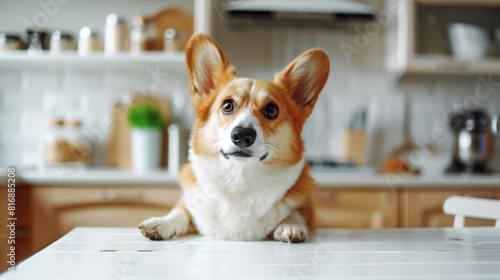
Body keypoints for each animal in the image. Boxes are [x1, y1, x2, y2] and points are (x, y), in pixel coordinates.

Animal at [139, 33, 330, 243]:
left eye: (272, 110)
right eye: (227, 105)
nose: (243, 135)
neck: (239, 178)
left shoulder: (308, 207)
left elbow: (297, 212)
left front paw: (291, 226)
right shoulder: (189, 201)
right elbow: (180, 210)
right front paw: (162, 222)